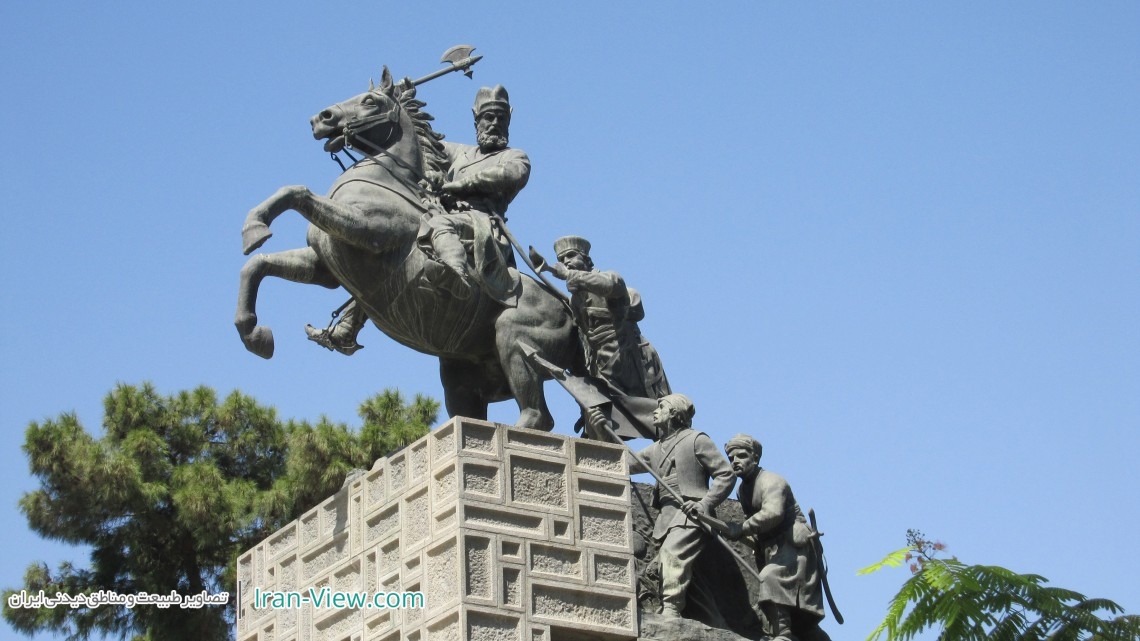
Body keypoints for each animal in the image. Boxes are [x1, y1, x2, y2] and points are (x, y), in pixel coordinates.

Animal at [238, 68, 579, 428]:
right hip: (460, 372)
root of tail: (569, 311)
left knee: (539, 416)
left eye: (370, 100)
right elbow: (258, 264)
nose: (322, 118)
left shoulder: (366, 229)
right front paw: (255, 333)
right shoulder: (325, 267)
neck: (385, 180)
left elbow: (297, 193)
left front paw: (255, 226)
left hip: (514, 341)